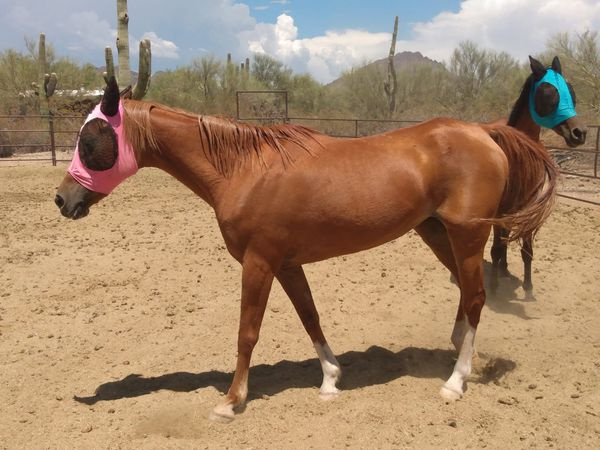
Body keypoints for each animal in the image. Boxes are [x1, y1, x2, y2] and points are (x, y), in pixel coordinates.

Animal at [55, 77, 556, 422]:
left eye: (90, 137)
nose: (63, 200)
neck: (243, 169)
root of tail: (484, 132)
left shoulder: (259, 263)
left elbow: (247, 332)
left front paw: (230, 401)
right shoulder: (287, 264)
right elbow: (310, 317)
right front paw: (331, 380)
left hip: (466, 235)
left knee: (476, 296)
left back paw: (455, 381)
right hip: (435, 232)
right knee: (468, 293)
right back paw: (457, 351)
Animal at [492, 55, 584, 296]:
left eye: (572, 92)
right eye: (548, 93)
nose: (579, 133)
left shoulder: (530, 208)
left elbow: (526, 250)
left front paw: (529, 288)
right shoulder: (500, 209)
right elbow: (496, 247)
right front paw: (493, 288)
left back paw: (505, 270)